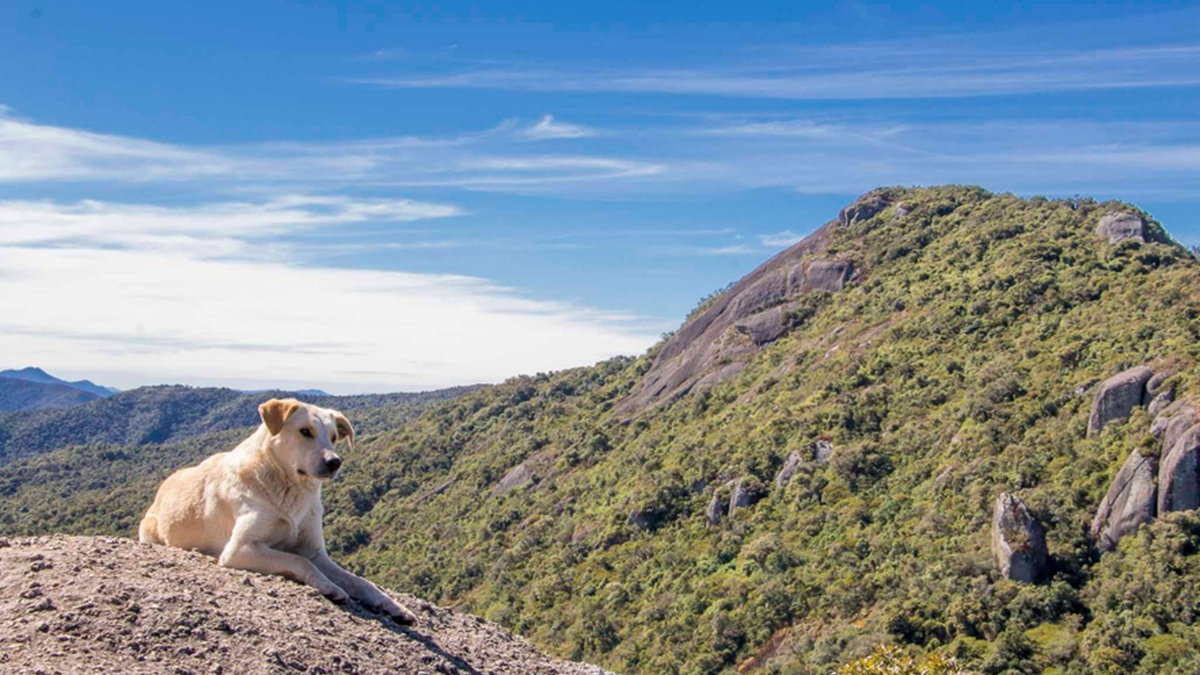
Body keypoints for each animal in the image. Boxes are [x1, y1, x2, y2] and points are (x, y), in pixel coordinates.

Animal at [137, 396, 412, 624]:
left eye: (334, 437)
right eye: (305, 431)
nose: (334, 462)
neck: (290, 488)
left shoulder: (316, 552)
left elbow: (362, 582)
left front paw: (393, 606)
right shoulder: (240, 549)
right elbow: (298, 561)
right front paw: (329, 586)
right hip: (150, 530)